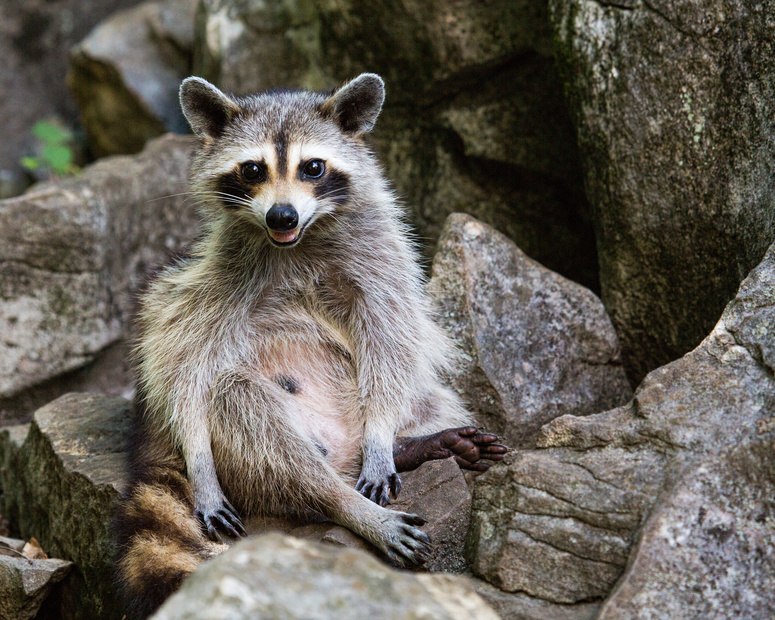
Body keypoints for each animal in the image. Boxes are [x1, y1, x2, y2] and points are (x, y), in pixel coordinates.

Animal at [112, 72, 506, 616]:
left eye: (312, 167)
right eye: (253, 169)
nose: (281, 215)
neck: (296, 240)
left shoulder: (381, 257)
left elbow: (392, 337)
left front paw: (383, 440)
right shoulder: (209, 283)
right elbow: (184, 365)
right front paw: (199, 463)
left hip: (393, 404)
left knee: (420, 393)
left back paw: (407, 445)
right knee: (248, 413)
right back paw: (348, 504)